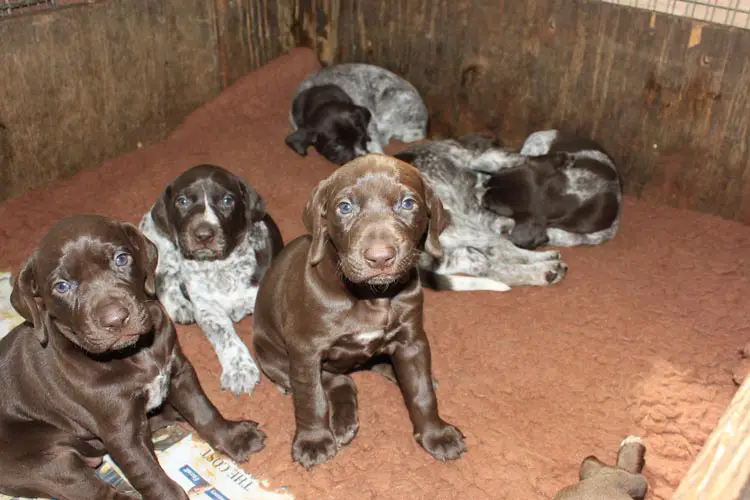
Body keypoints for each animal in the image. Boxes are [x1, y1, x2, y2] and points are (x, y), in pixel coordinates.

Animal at [0, 216, 266, 500]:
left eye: (121, 259)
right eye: (62, 286)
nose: (116, 319)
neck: (134, 353)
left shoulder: (179, 372)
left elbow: (204, 410)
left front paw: (234, 437)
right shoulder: (122, 431)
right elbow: (150, 476)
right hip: (50, 463)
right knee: (95, 490)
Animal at [140, 164, 284, 394]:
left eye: (227, 200)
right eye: (182, 201)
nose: (203, 235)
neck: (221, 267)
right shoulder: (208, 309)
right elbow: (225, 336)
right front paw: (240, 370)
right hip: (164, 244)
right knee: (164, 276)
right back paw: (180, 305)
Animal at [253, 153, 464, 468]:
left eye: (407, 203)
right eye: (345, 207)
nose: (380, 258)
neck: (370, 296)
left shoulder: (412, 341)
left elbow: (421, 392)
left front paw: (435, 433)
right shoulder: (305, 349)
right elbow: (311, 398)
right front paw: (314, 441)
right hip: (271, 354)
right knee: (335, 381)